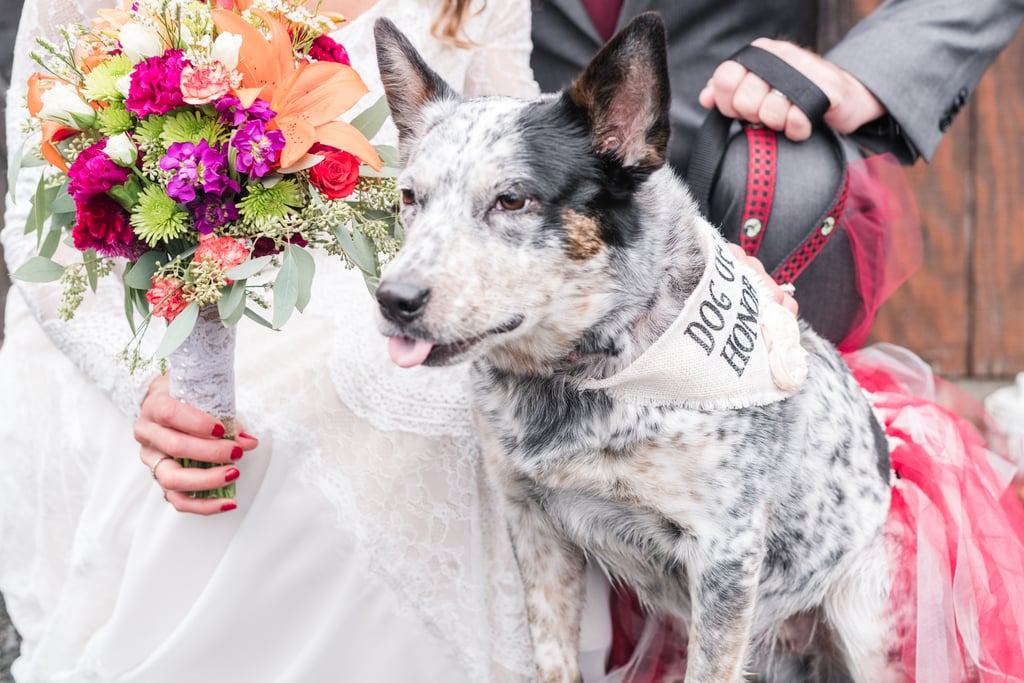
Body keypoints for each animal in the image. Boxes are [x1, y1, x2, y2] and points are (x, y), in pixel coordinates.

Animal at [368, 12, 905, 683]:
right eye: (410, 197)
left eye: (512, 199)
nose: (393, 299)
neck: (586, 373)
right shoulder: (534, 522)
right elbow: (553, 657)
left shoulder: (725, 557)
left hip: (859, 621)